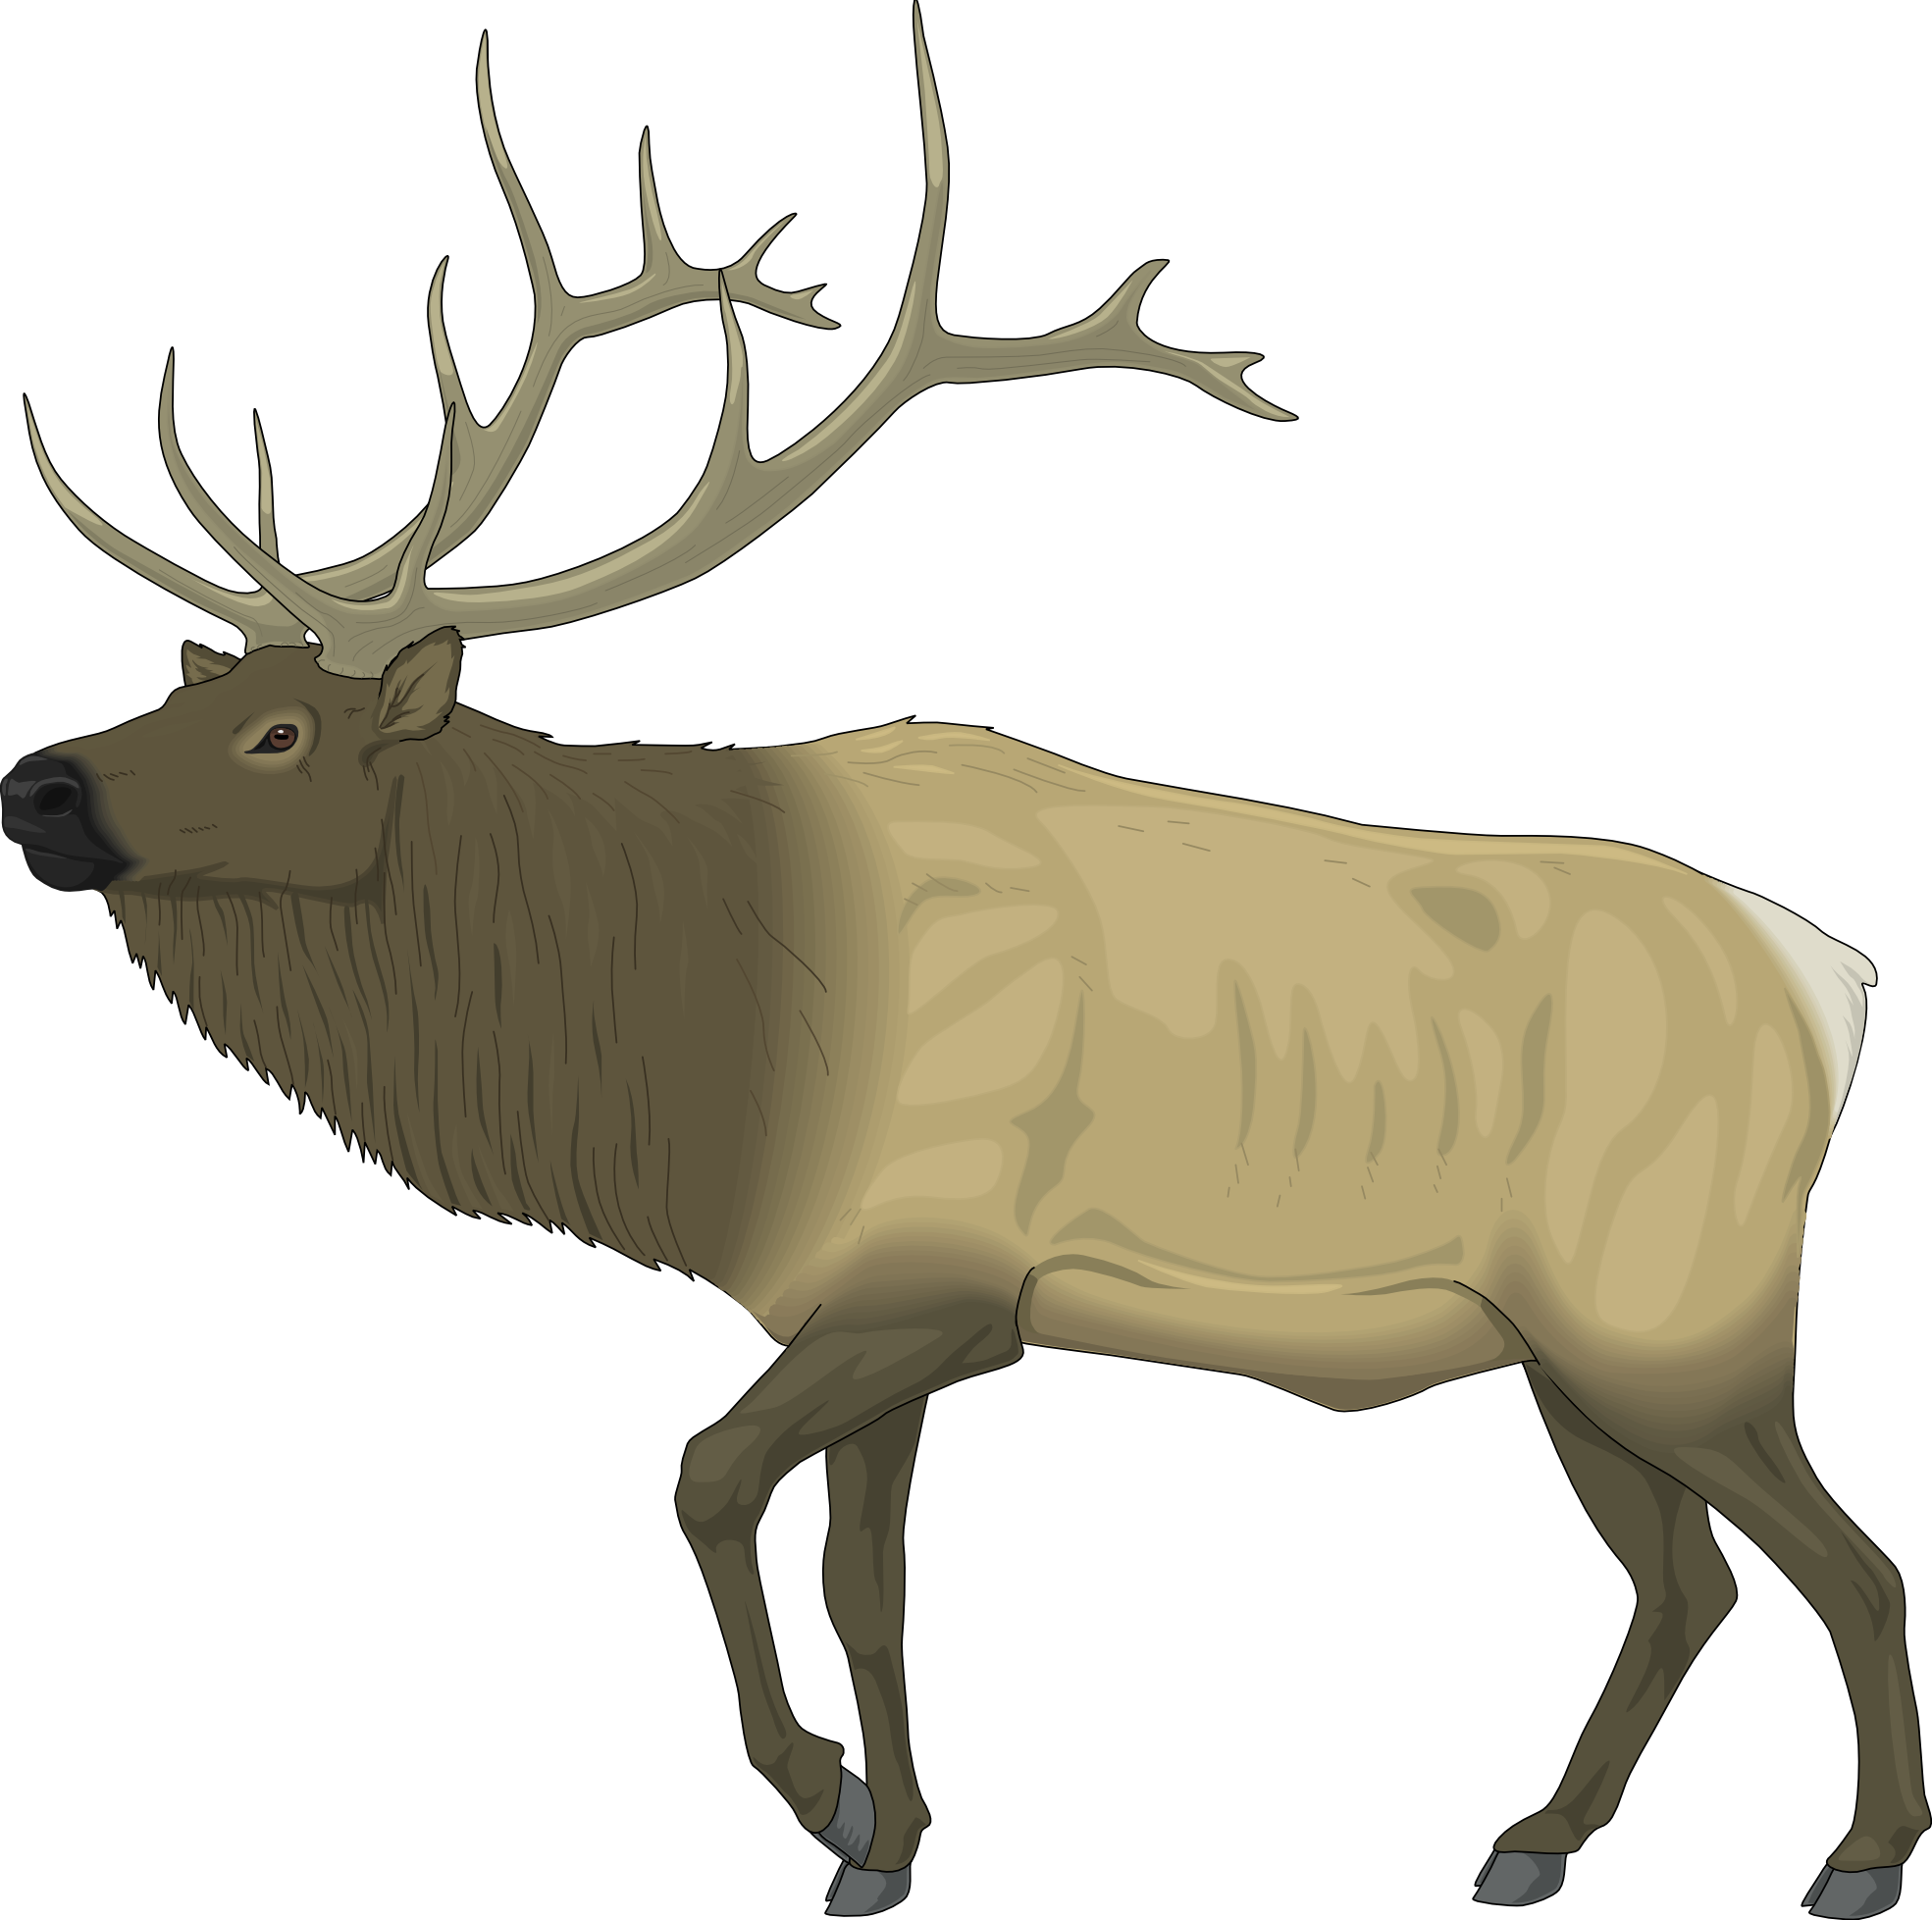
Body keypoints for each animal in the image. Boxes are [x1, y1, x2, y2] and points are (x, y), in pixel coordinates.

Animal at [3, 8, 1923, 1917]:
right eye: (184, 692)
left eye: (278, 733)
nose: (37, 785)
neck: (698, 1062)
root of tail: (1836, 978)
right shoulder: (875, 1315)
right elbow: (868, 1581)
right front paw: (892, 1837)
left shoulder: (925, 1285)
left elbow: (704, 1483)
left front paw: (823, 1794)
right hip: (1565, 1350)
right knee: (1688, 1576)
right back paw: (1533, 1834)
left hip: (1673, 1313)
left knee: (1846, 1559)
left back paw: (1847, 1855)